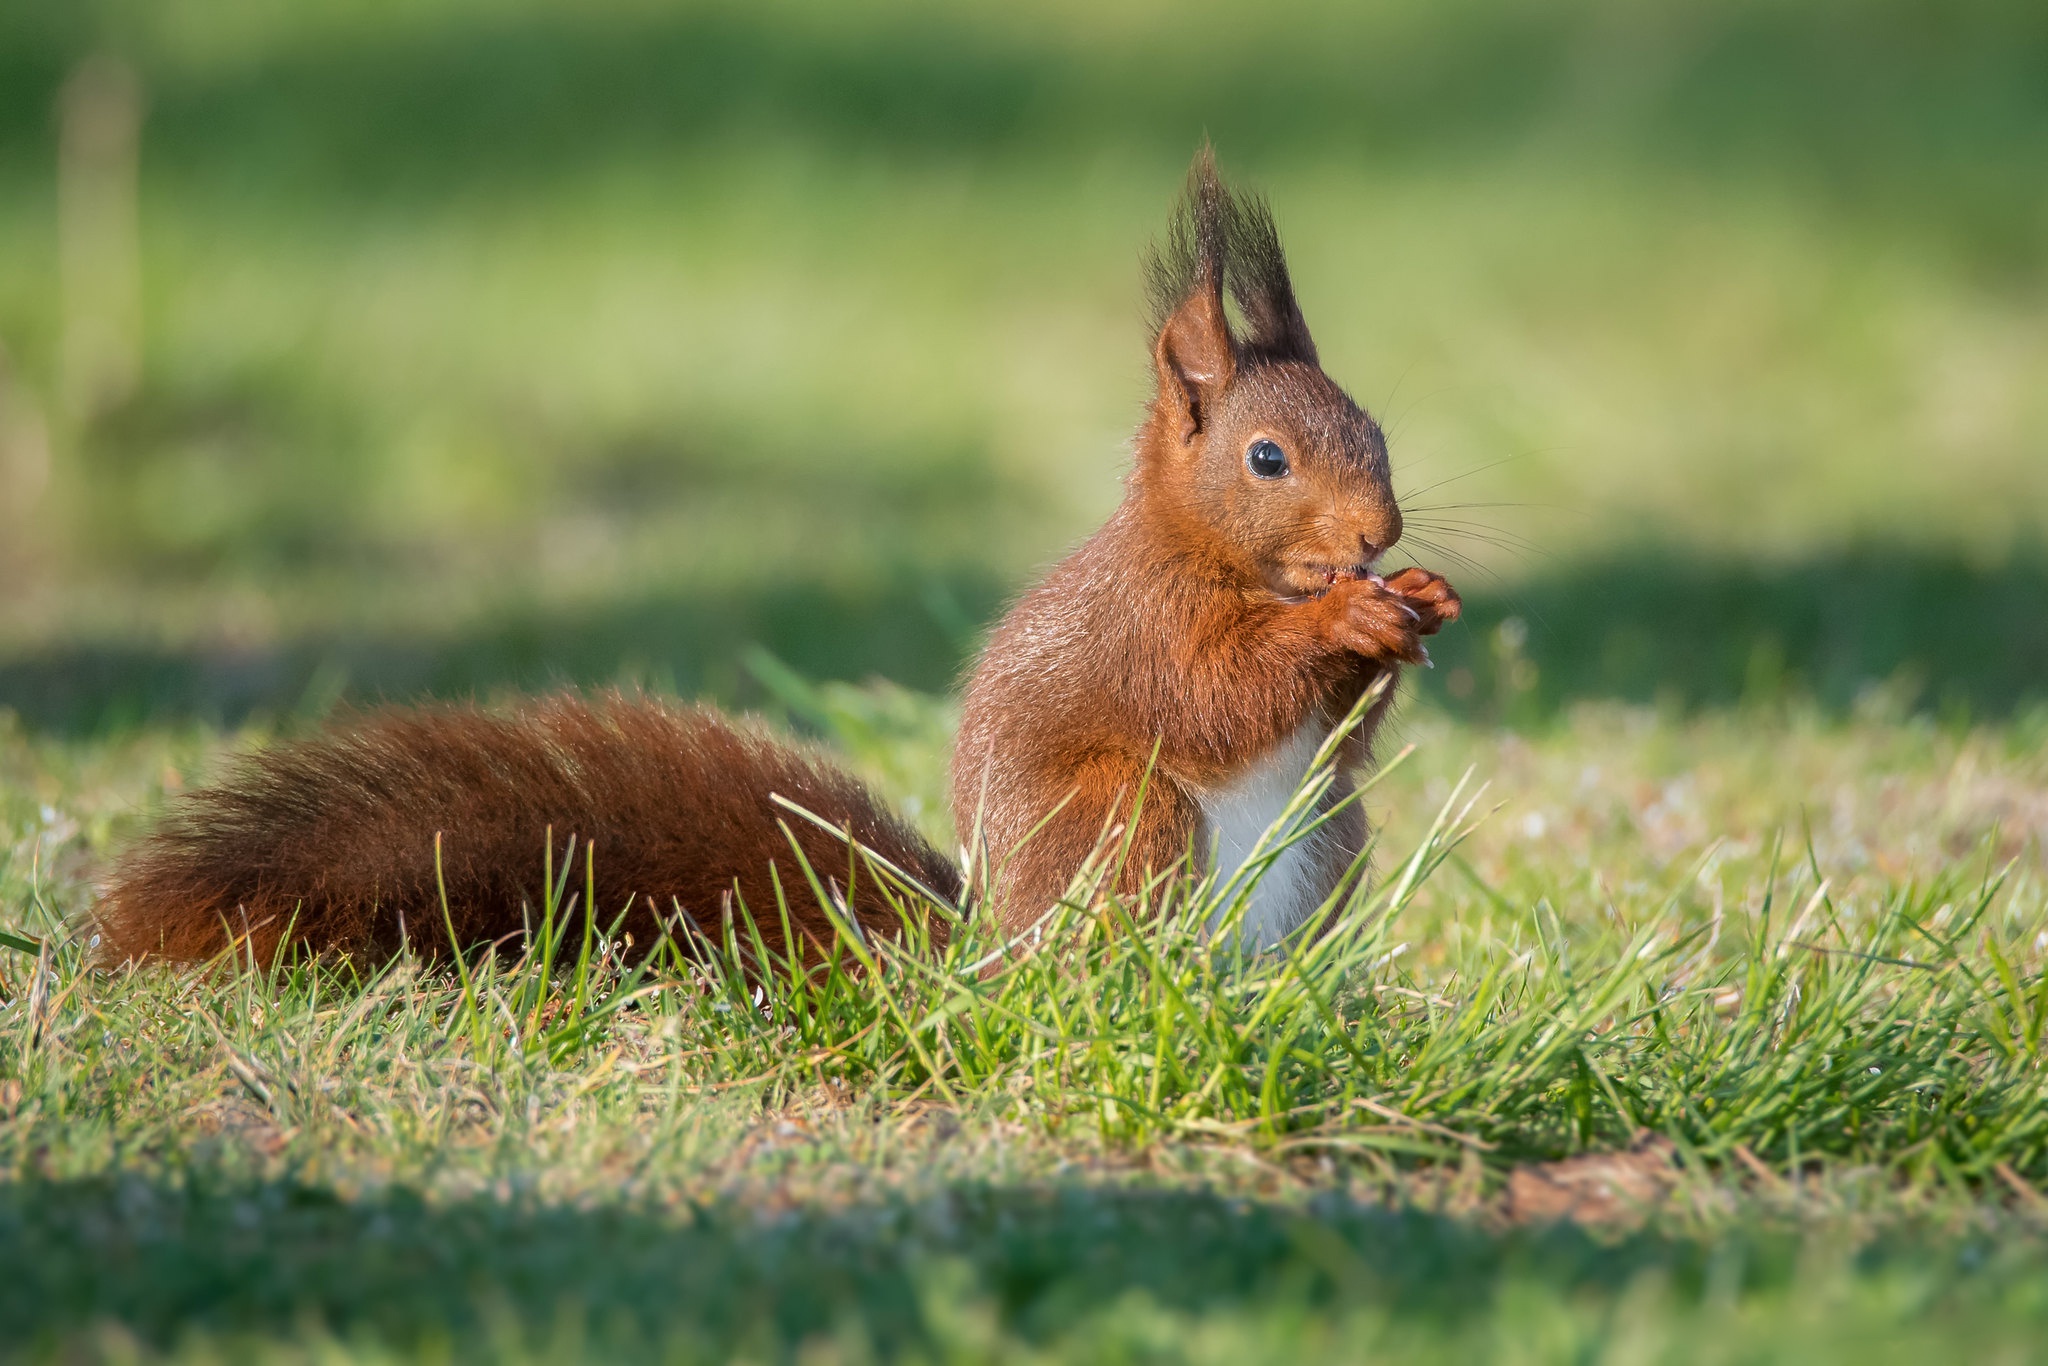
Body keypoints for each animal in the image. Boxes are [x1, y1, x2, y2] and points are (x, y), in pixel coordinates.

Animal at [92, 154, 1458, 970]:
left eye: (1377, 431)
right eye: (1268, 458)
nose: (1376, 538)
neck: (1219, 557)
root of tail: (978, 958)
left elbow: (1337, 731)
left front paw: (1418, 603)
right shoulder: (1149, 622)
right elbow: (1215, 692)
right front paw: (1342, 627)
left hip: (1325, 842)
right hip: (1121, 820)